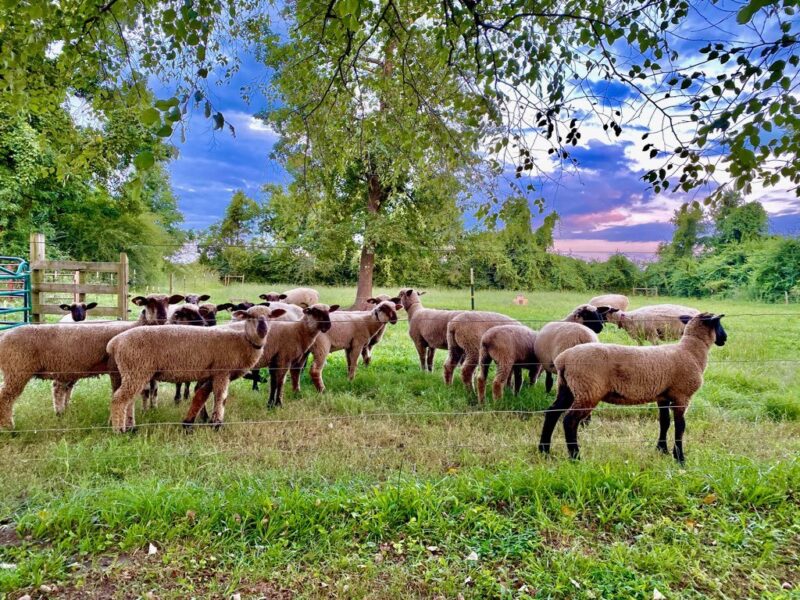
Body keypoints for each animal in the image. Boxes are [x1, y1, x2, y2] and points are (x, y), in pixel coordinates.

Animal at [0, 294, 183, 428]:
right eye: (148, 302)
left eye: (168, 302)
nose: (162, 317)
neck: (134, 326)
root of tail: (4, 336)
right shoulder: (116, 369)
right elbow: (118, 393)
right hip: (16, 369)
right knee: (6, 397)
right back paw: (10, 428)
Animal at [108, 306, 284, 432]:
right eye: (249, 317)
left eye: (270, 316)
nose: (263, 329)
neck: (242, 343)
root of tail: (114, 343)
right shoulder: (222, 371)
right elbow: (221, 398)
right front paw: (216, 425)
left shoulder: (211, 374)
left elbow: (201, 396)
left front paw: (189, 423)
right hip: (136, 369)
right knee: (119, 399)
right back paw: (119, 431)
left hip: (135, 371)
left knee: (129, 399)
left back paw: (130, 427)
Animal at [538, 313, 727, 464]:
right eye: (719, 323)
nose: (725, 338)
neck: (691, 351)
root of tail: (564, 359)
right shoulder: (682, 396)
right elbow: (680, 427)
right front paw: (680, 459)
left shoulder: (663, 396)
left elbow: (664, 422)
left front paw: (662, 450)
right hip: (587, 390)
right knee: (569, 421)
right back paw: (575, 457)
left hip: (567, 388)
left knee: (552, 413)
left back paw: (544, 450)